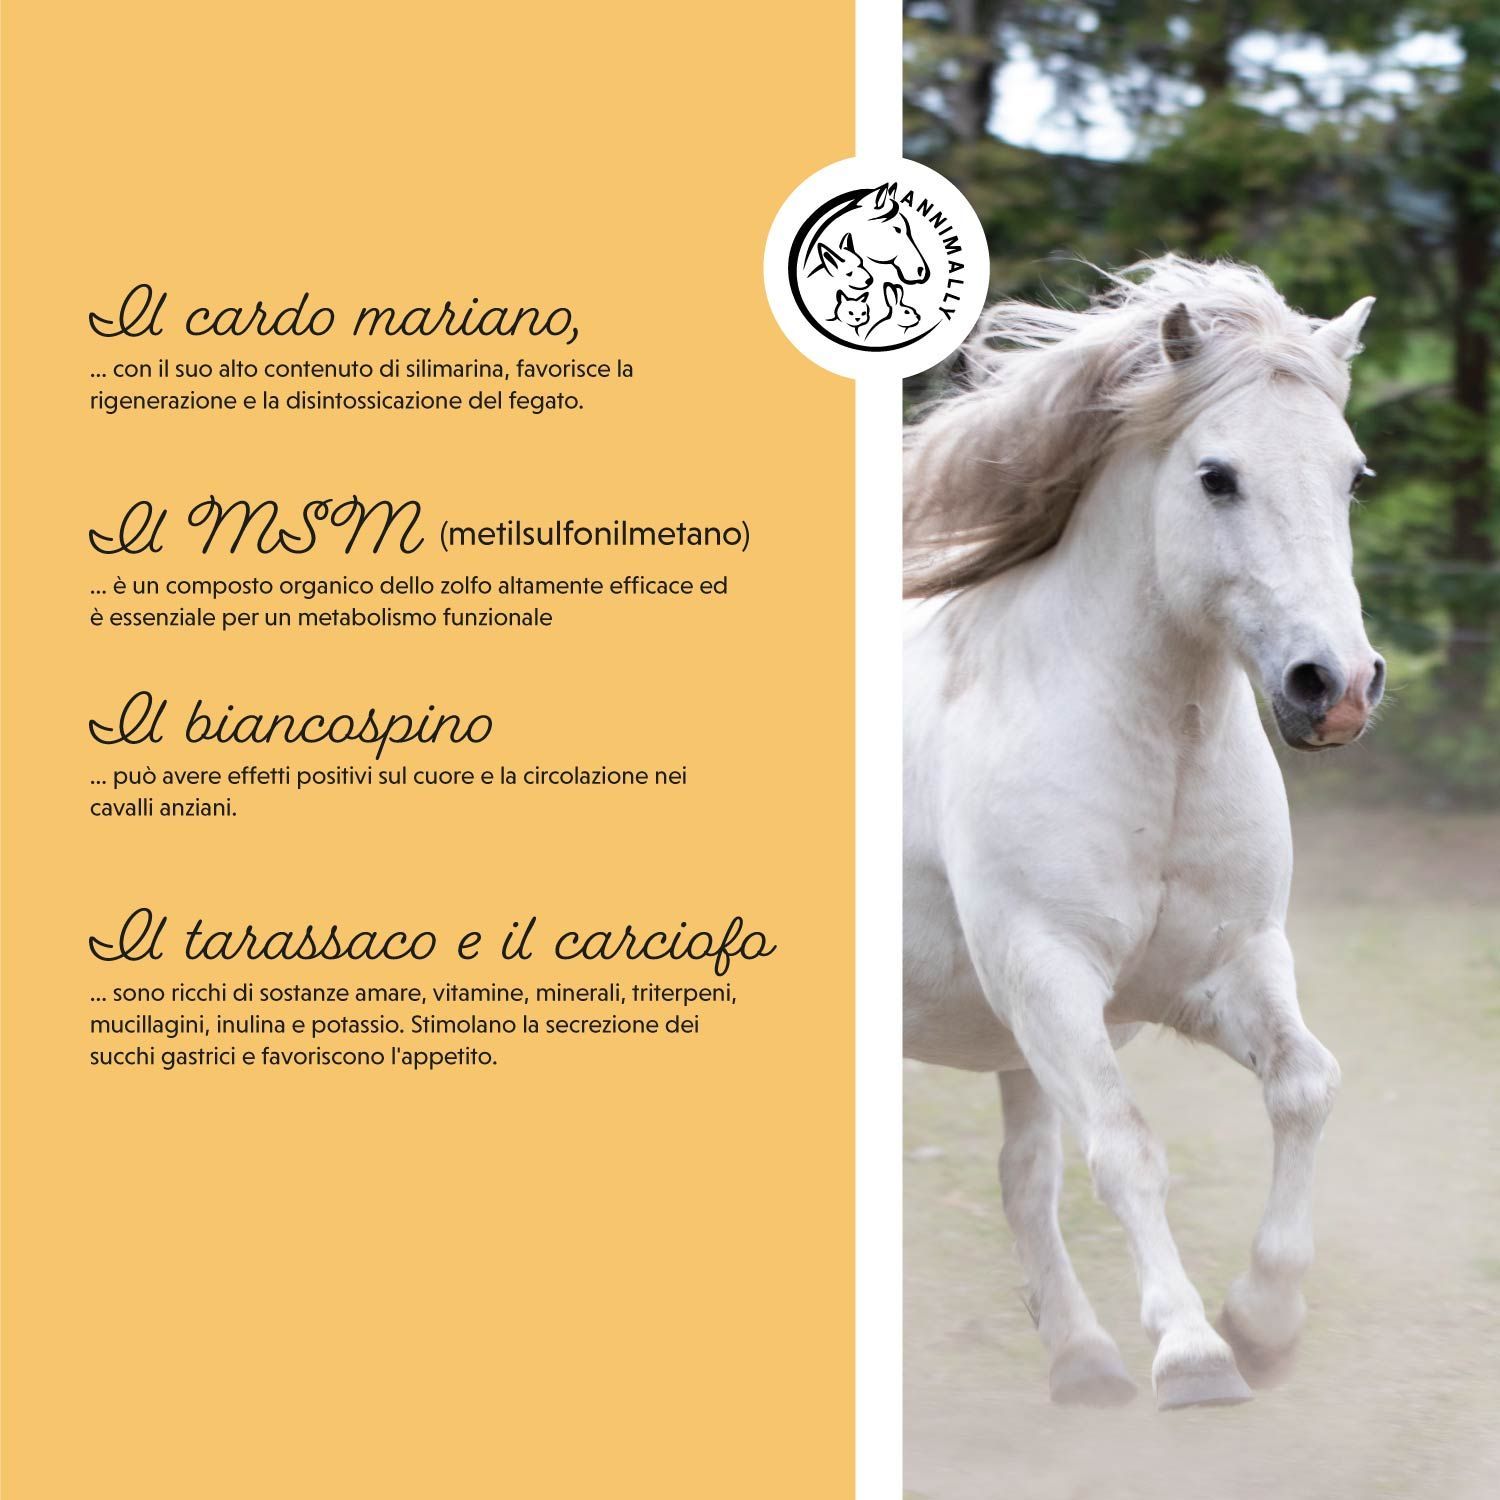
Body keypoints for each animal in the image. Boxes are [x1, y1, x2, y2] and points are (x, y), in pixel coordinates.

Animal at [903, 256, 1383, 1412]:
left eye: (1353, 477)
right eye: (1216, 476)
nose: (1337, 687)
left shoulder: (1223, 967)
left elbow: (1305, 1086)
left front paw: (1264, 1322)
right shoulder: (1050, 975)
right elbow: (1125, 1149)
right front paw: (1195, 1353)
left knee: (1025, 1181)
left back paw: (1083, 1362)